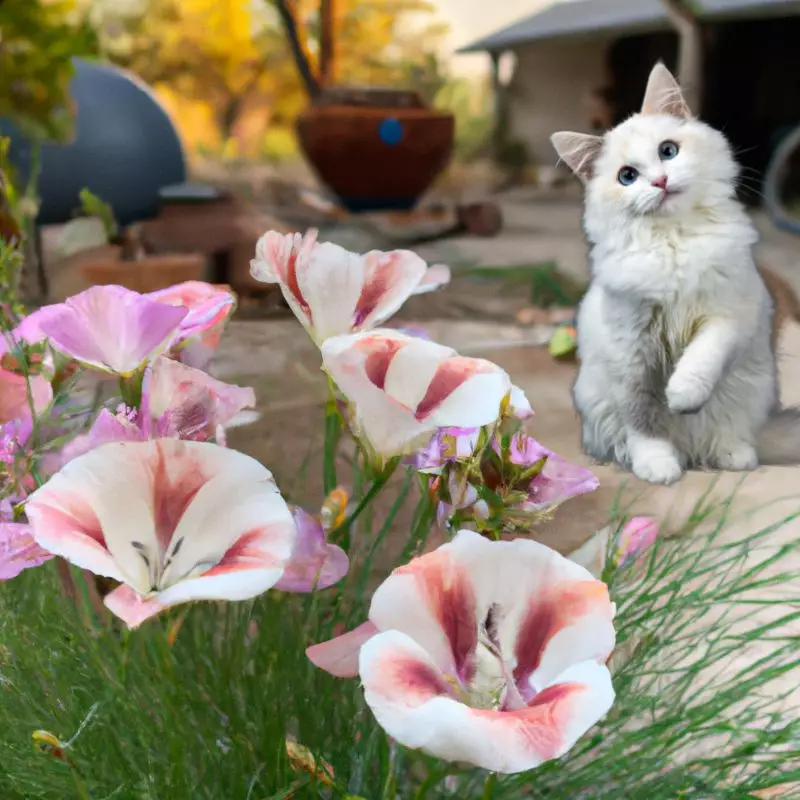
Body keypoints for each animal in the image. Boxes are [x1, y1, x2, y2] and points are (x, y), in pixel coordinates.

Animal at [552, 62, 800, 484]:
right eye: (627, 177)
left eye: (668, 151)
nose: (660, 181)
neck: (674, 240)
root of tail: (693, 451)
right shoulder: (632, 351)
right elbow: (643, 420)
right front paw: (657, 465)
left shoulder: (728, 314)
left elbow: (702, 358)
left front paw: (682, 395)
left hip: (752, 388)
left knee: (731, 435)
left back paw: (733, 455)